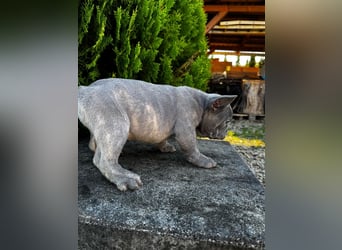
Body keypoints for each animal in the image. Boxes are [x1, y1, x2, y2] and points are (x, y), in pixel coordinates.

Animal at [78, 78, 236, 191]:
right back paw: (125, 177)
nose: (225, 134)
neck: (203, 103)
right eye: (227, 122)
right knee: (103, 160)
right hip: (116, 123)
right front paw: (202, 160)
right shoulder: (186, 130)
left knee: (97, 144)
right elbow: (192, 148)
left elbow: (163, 138)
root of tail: (85, 89)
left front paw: (165, 147)